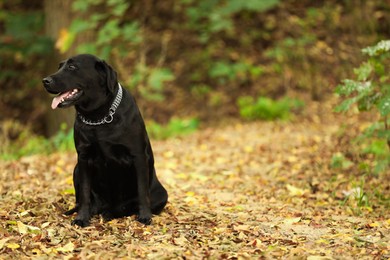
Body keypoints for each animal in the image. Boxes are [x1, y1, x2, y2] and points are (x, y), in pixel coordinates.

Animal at [42, 53, 168, 225]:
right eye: (59, 66)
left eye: (72, 67)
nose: (45, 80)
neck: (98, 117)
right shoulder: (83, 157)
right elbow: (85, 193)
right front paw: (82, 218)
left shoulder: (138, 156)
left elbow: (142, 191)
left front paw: (144, 216)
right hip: (76, 169)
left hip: (161, 194)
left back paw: (112, 212)